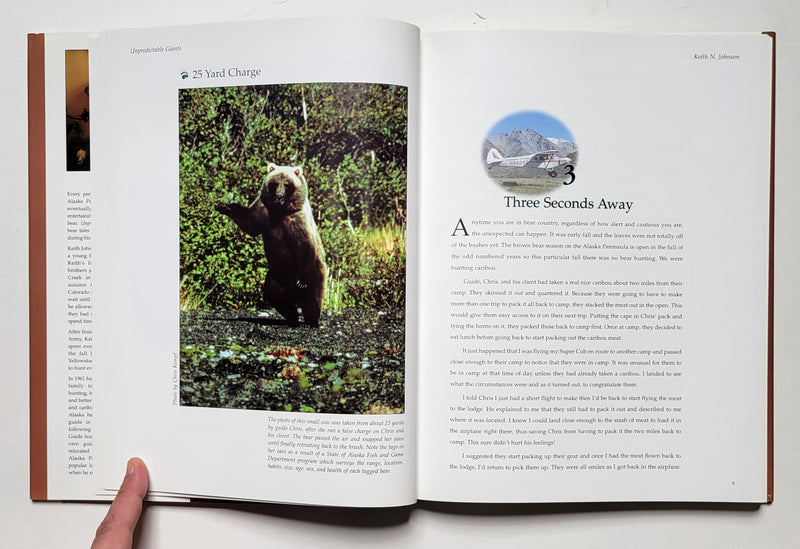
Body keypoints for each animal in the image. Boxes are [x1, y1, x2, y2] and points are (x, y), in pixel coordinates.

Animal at [215, 163, 326, 327]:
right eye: (274, 184)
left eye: (287, 185)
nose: (279, 197)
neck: (280, 211)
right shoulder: (263, 210)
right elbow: (250, 223)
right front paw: (224, 205)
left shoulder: (298, 220)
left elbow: (305, 245)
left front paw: (301, 281)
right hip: (276, 276)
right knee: (273, 295)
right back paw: (292, 316)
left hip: (316, 272)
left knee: (312, 298)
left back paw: (312, 321)